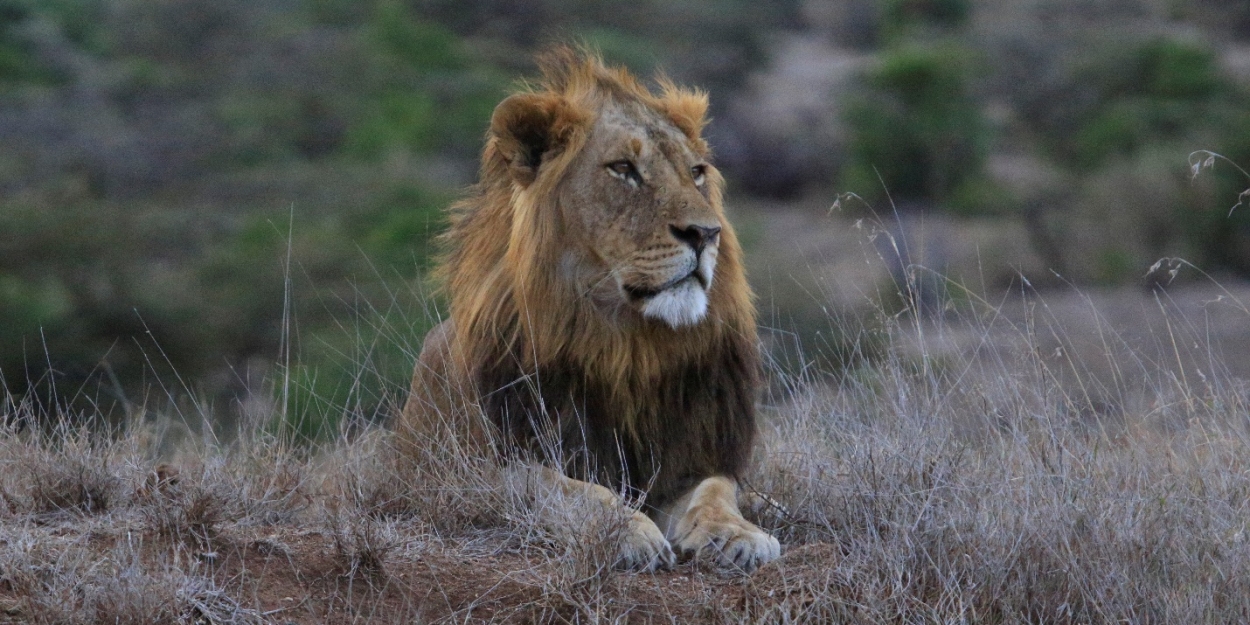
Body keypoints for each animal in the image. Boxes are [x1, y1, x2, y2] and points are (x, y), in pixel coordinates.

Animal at [397, 48, 780, 572]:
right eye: (622, 168)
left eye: (697, 172)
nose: (706, 233)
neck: (626, 348)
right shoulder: (483, 469)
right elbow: (563, 489)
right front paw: (626, 532)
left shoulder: (694, 454)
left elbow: (717, 490)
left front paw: (738, 534)